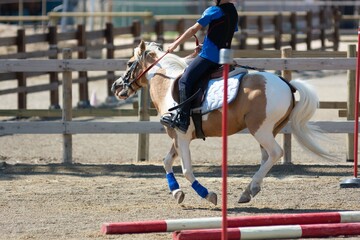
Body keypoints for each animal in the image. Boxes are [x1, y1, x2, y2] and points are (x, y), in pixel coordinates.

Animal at [110, 40, 332, 205]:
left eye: (129, 63)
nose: (116, 87)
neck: (167, 84)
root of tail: (286, 84)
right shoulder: (177, 137)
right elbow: (166, 162)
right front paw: (176, 192)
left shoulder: (182, 137)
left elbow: (187, 170)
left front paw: (207, 194)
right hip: (268, 132)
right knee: (266, 157)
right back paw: (250, 190)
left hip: (261, 130)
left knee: (276, 153)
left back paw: (249, 189)